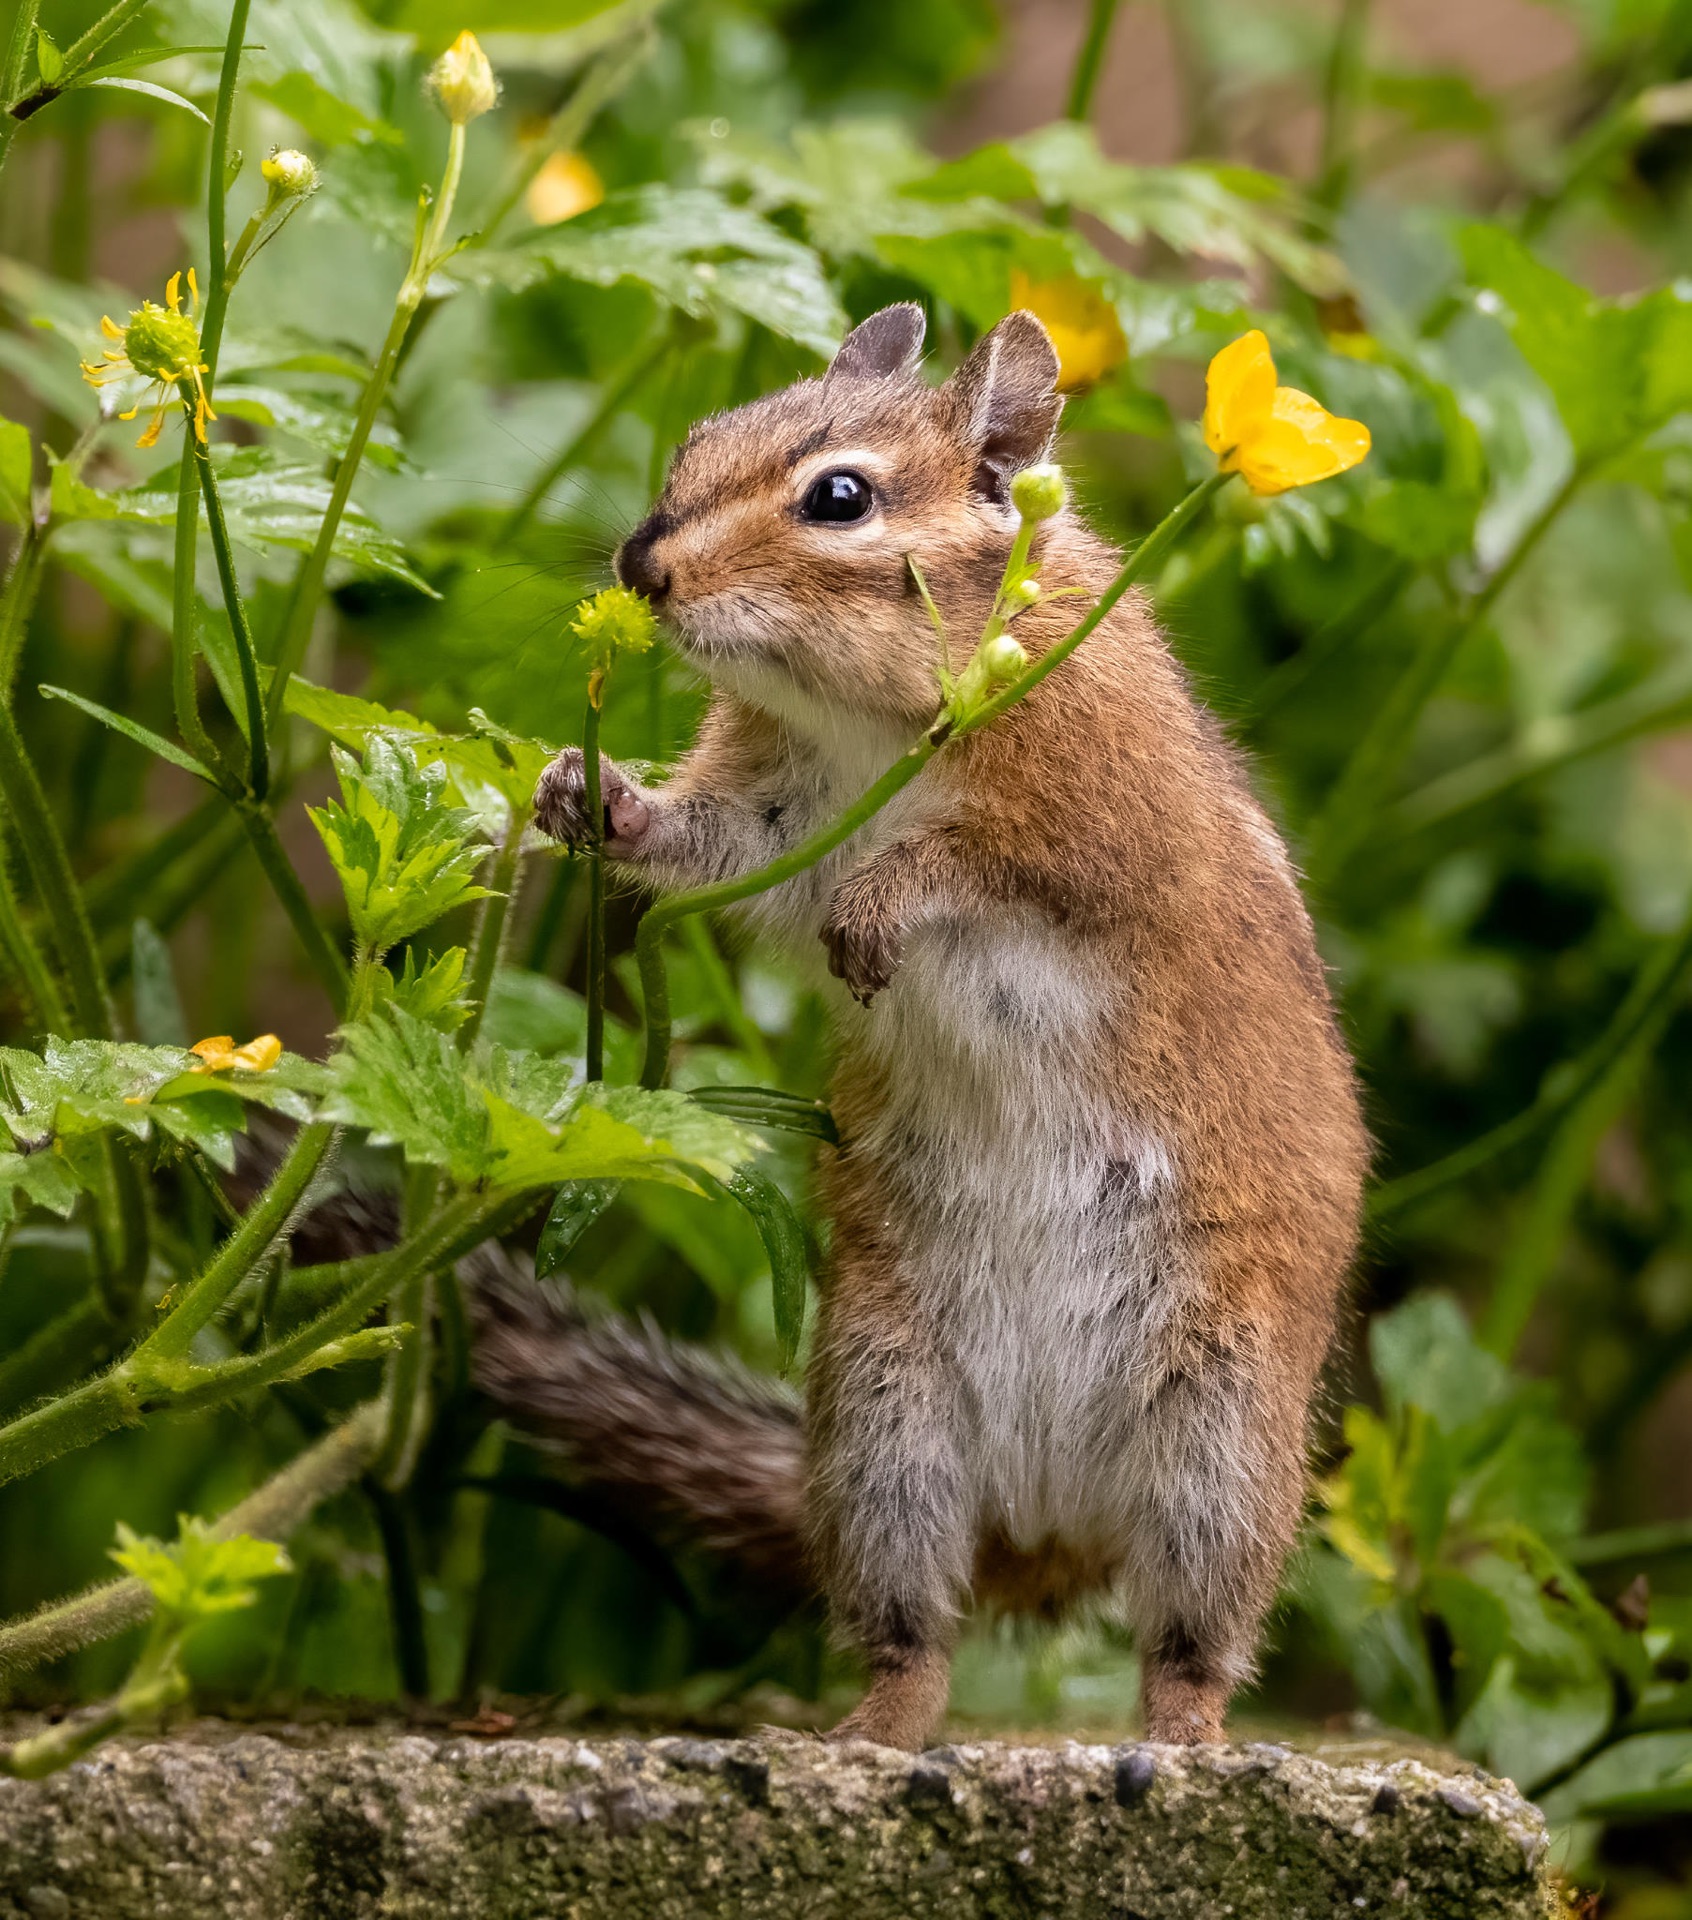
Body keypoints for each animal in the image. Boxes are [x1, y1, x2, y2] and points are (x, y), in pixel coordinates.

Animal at [486, 303, 1370, 1752]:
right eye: (699, 439)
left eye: (839, 498)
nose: (640, 563)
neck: (869, 721)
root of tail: (1051, 1522)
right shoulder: (773, 812)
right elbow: (715, 847)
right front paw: (589, 795)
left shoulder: (1096, 825)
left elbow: (976, 869)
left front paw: (885, 900)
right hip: (886, 1427)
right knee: (916, 1634)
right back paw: (871, 1734)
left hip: (1222, 1441)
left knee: (1192, 1641)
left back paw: (1180, 1744)